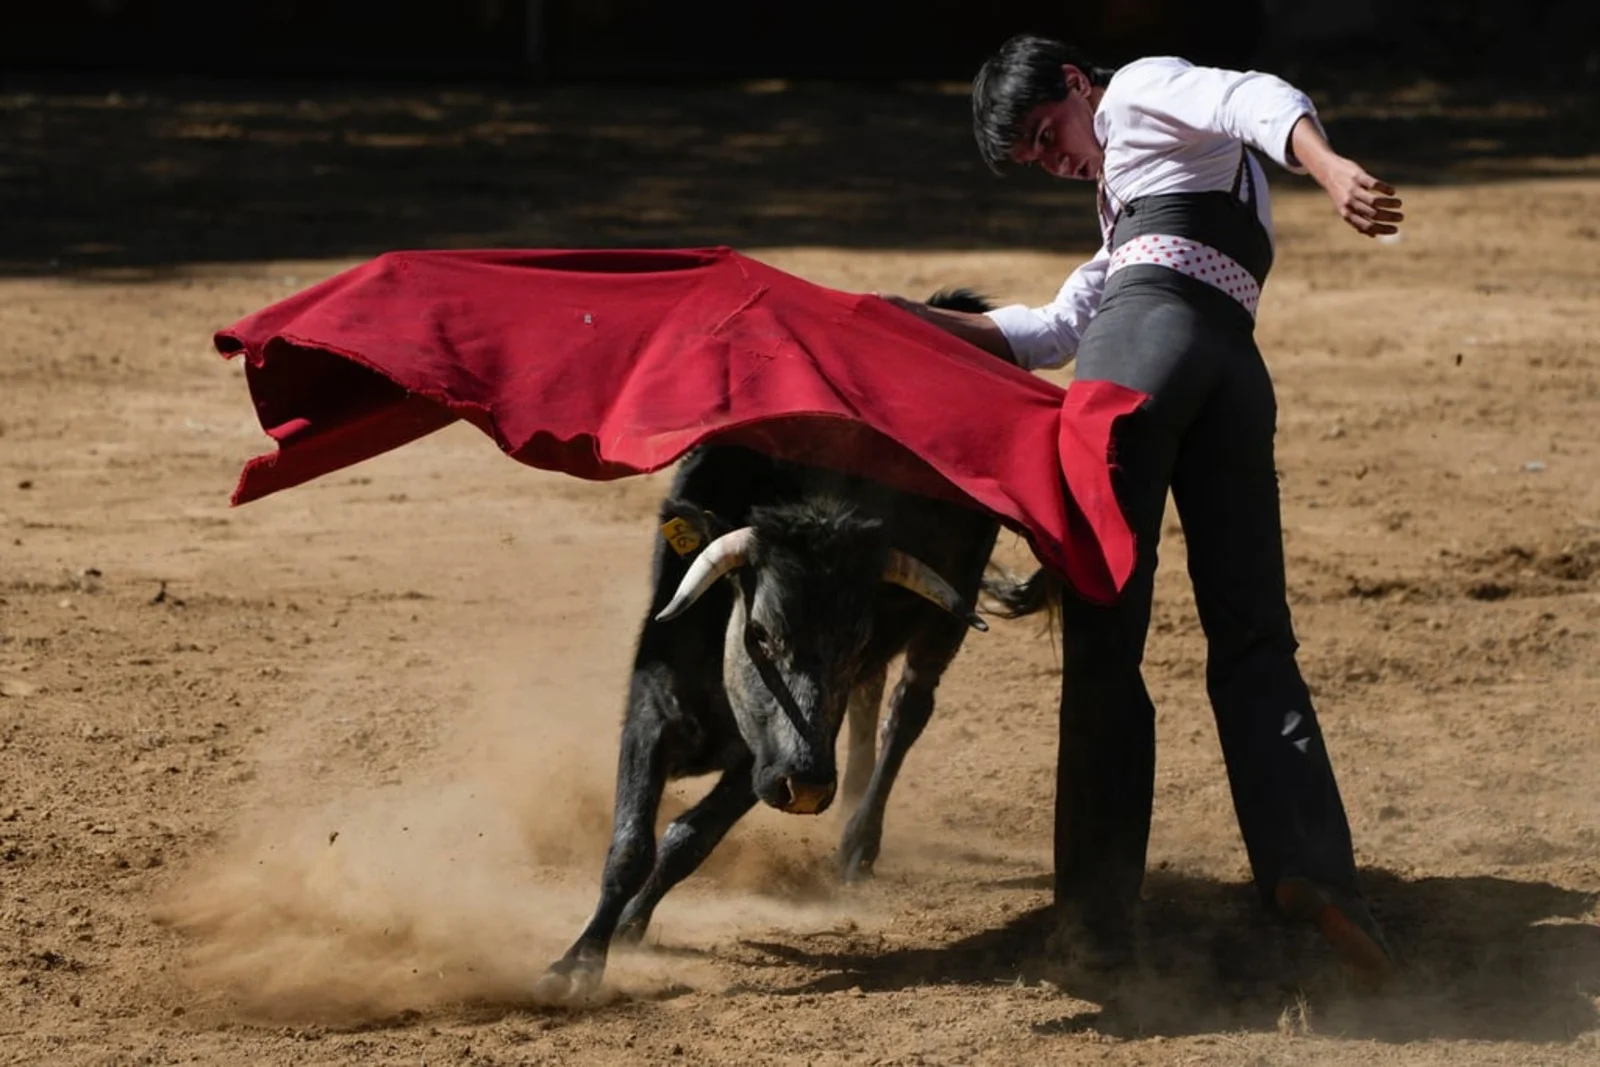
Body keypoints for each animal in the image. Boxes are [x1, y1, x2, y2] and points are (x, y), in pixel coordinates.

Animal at [540, 286, 1011, 1004]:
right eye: (760, 632)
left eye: (854, 638)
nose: (810, 785)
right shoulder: (652, 708)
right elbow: (630, 843)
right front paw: (583, 957)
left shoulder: (760, 761)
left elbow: (685, 838)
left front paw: (624, 929)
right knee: (875, 704)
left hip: (945, 625)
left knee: (908, 707)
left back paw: (857, 841)